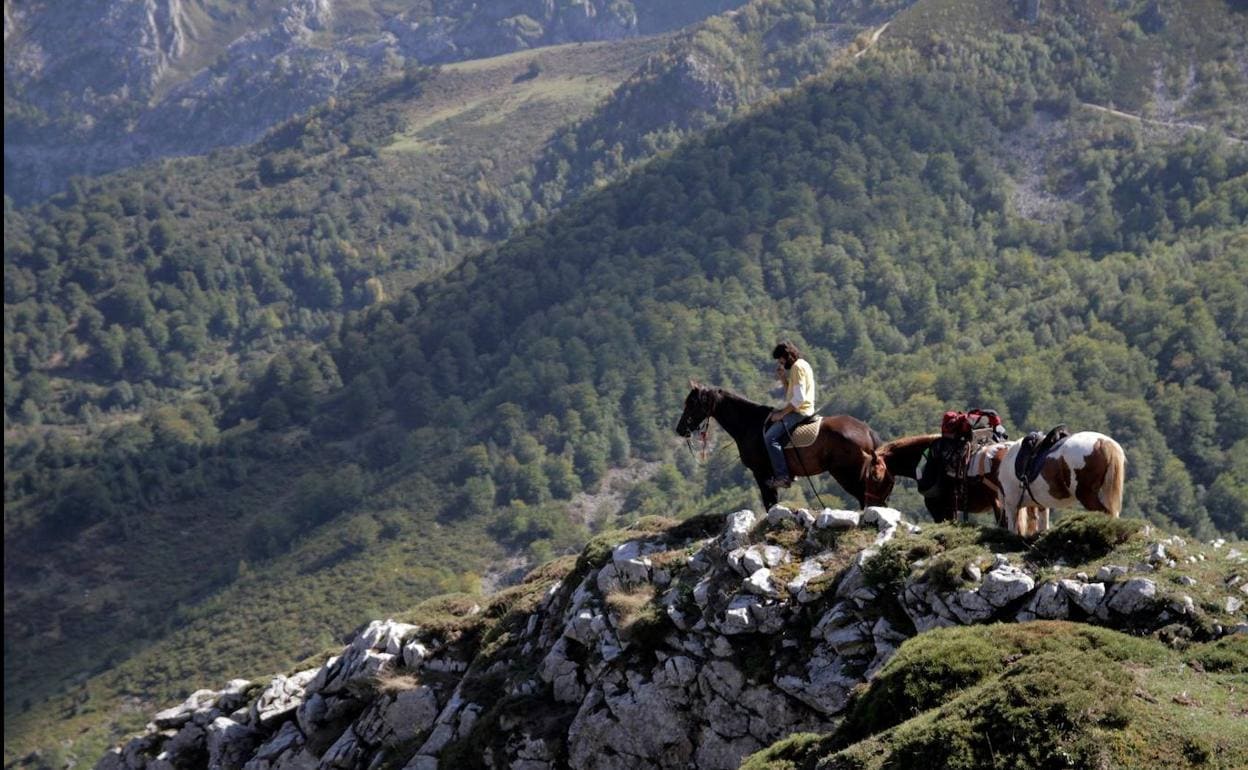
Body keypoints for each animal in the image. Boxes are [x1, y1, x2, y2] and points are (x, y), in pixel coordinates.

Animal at [673, 381, 888, 511]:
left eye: (692, 404)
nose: (680, 429)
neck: (750, 424)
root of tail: (866, 430)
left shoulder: (762, 473)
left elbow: (770, 502)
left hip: (847, 474)